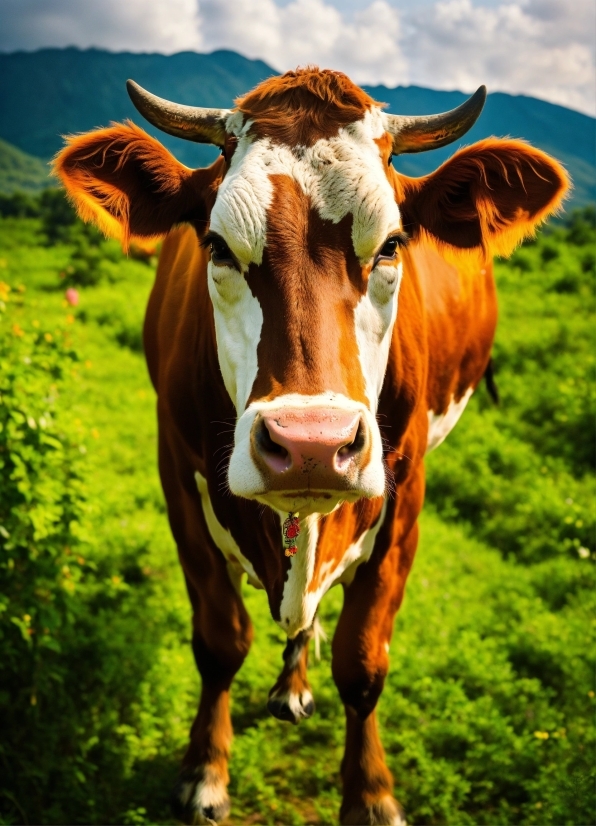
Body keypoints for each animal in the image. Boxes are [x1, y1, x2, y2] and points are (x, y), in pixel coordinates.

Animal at [56, 71, 568, 824]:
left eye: (391, 244)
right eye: (217, 245)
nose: (311, 445)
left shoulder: (403, 499)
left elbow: (363, 661)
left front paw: (371, 792)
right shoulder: (179, 479)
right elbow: (220, 640)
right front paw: (206, 771)